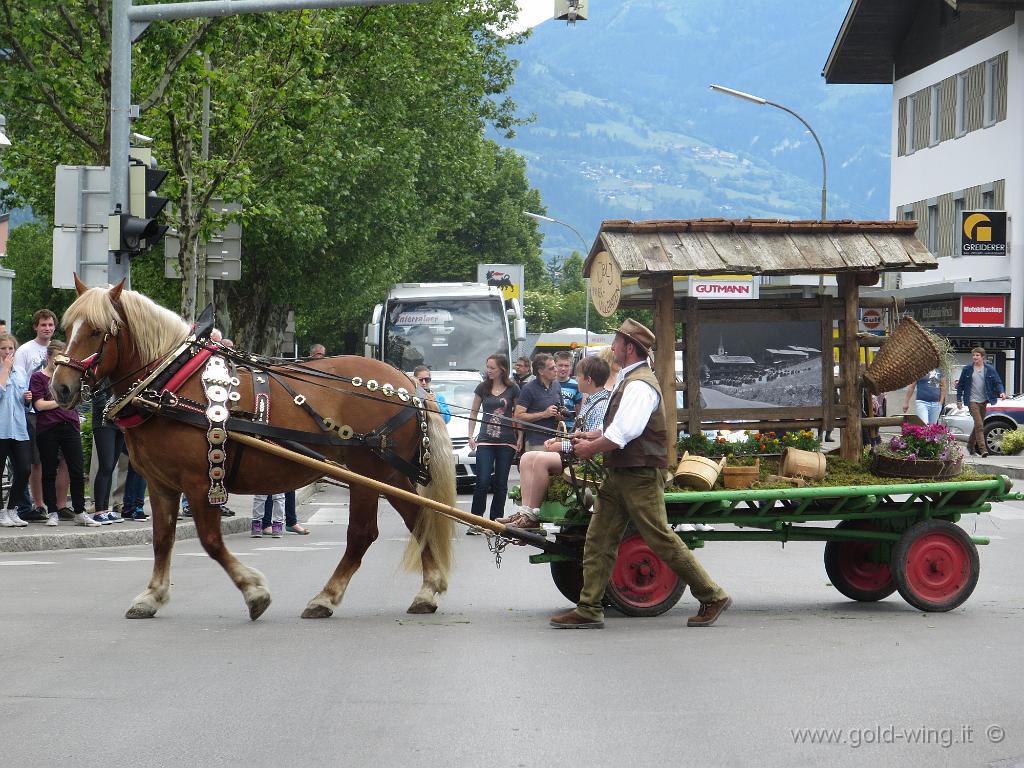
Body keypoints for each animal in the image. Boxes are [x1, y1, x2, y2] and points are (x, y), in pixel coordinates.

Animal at [54, 280, 454, 622]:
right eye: (67, 326)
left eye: (96, 330)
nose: (61, 388)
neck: (170, 383)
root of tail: (409, 385)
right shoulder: (161, 484)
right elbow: (162, 539)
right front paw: (152, 596)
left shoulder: (200, 482)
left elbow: (211, 541)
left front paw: (254, 592)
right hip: (390, 474)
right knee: (419, 518)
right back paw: (427, 590)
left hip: (368, 474)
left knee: (363, 534)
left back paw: (327, 597)